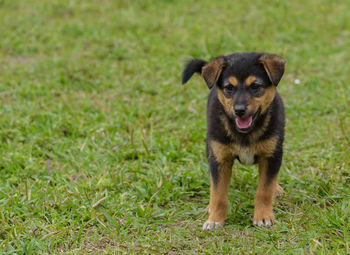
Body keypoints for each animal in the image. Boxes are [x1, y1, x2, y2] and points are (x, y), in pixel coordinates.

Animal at [182, 51, 286, 229]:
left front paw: (263, 216)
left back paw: (276, 189)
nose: (239, 110)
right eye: (229, 88)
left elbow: (264, 190)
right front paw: (215, 220)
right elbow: (218, 194)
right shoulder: (219, 158)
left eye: (255, 87)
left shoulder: (272, 155)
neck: (245, 133)